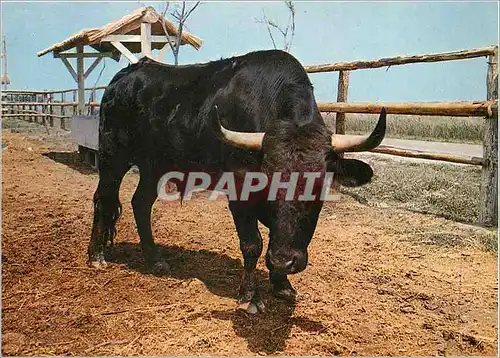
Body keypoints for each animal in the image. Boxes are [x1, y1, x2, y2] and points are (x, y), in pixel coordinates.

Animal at [88, 49, 386, 314]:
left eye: (319, 186)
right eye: (269, 180)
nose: (285, 261)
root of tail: (125, 76)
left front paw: (282, 283)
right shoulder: (240, 192)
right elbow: (253, 244)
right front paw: (250, 296)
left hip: (154, 165)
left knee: (141, 203)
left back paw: (155, 259)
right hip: (113, 156)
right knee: (103, 198)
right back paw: (96, 256)